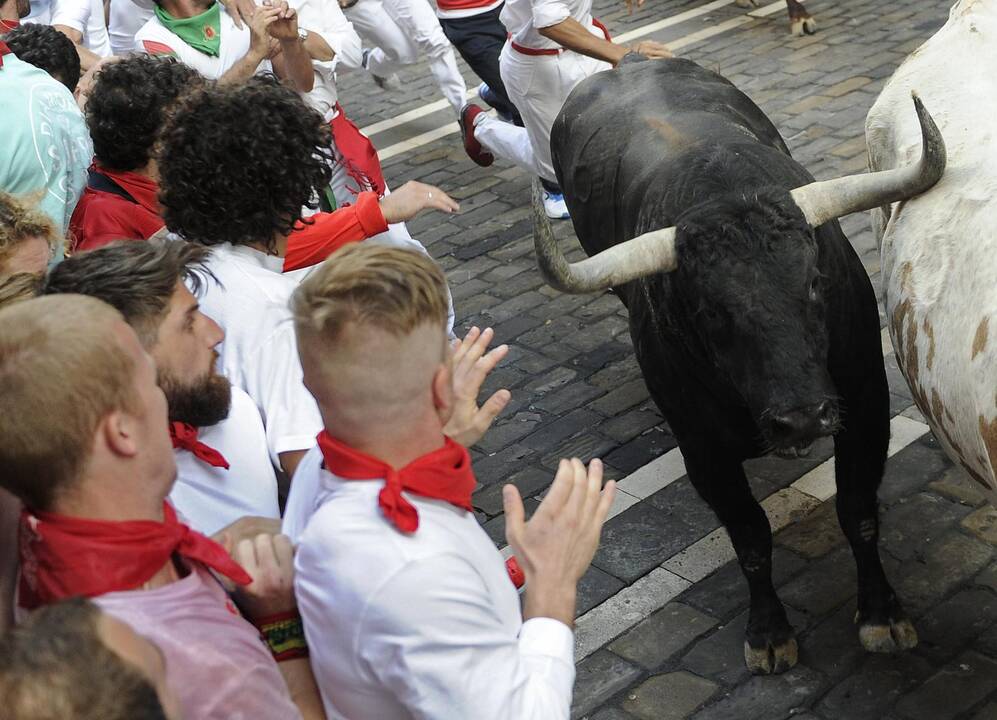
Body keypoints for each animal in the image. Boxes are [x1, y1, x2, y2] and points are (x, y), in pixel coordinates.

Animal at [536, 59, 940, 672]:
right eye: (708, 310)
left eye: (815, 282)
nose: (801, 420)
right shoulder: (705, 454)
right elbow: (750, 539)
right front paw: (769, 632)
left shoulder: (866, 408)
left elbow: (858, 512)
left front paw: (881, 615)